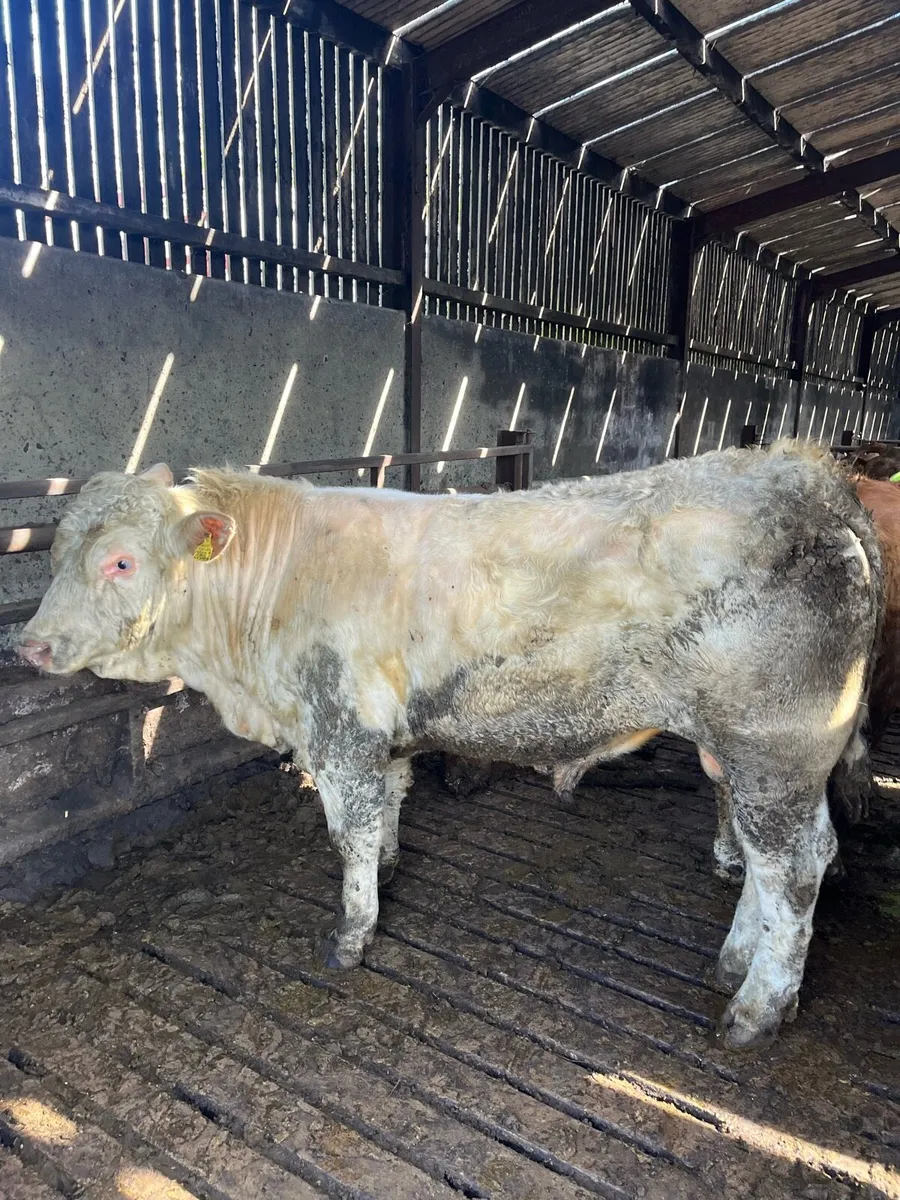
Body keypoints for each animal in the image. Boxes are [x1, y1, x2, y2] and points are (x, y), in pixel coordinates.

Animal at [17, 441, 881, 1050]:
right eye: (54, 555)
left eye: (120, 561)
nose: (29, 644)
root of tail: (811, 474)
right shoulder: (385, 736)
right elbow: (389, 812)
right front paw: (388, 871)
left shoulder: (341, 732)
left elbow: (349, 832)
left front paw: (352, 933)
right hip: (742, 756)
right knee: (767, 864)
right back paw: (734, 963)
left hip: (775, 750)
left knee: (796, 867)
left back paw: (756, 1010)